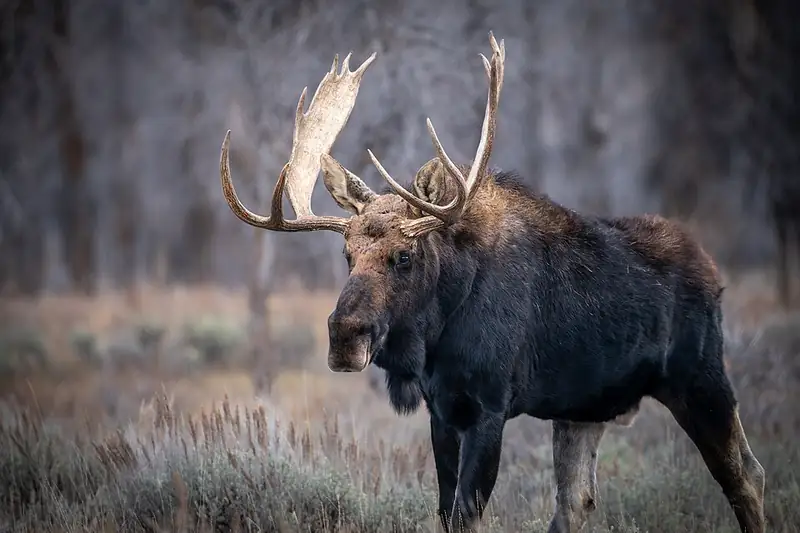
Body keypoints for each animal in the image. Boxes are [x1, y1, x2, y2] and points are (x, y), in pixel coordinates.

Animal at [217, 33, 766, 533]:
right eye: (347, 254)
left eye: (404, 255)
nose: (344, 337)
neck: (439, 330)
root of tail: (714, 272)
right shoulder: (441, 411)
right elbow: (446, 512)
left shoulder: (489, 407)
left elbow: (466, 515)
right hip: (584, 411)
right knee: (577, 501)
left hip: (700, 377)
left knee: (746, 475)